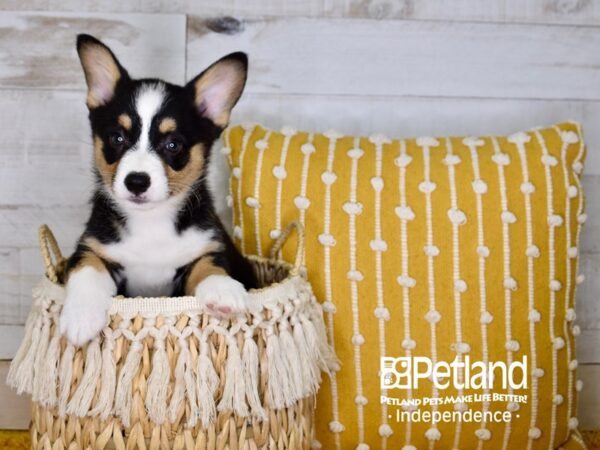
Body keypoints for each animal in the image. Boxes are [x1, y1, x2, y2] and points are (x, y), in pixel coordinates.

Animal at [60, 34, 255, 344]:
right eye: (117, 138)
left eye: (173, 144)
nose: (137, 181)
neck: (150, 222)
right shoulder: (91, 246)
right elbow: (88, 268)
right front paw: (80, 317)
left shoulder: (208, 246)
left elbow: (210, 265)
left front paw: (224, 291)